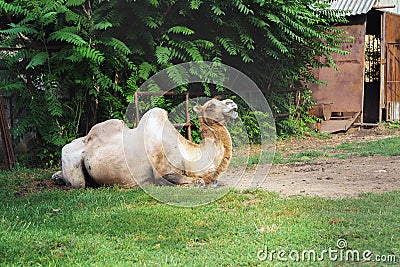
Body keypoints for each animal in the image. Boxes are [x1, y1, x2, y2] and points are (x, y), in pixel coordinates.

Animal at [52, 98, 238, 188]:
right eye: (211, 105)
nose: (232, 103)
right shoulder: (162, 173)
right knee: (78, 183)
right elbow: (198, 182)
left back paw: (56, 177)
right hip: (73, 166)